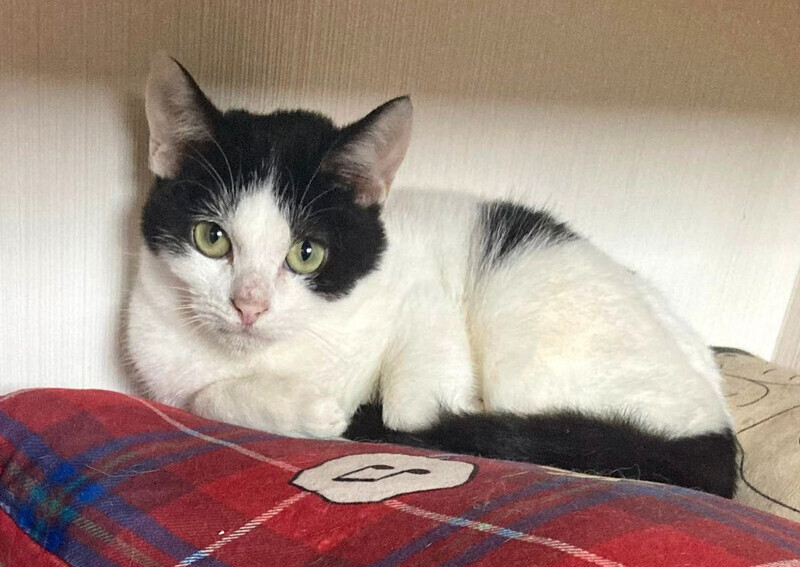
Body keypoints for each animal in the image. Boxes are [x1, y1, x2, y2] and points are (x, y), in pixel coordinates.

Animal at [127, 54, 737, 498]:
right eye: (212, 238)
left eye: (307, 253)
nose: (249, 305)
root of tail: (717, 420)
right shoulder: (160, 363)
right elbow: (199, 398)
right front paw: (302, 409)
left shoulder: (424, 298)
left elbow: (408, 404)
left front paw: (341, 413)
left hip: (526, 309)